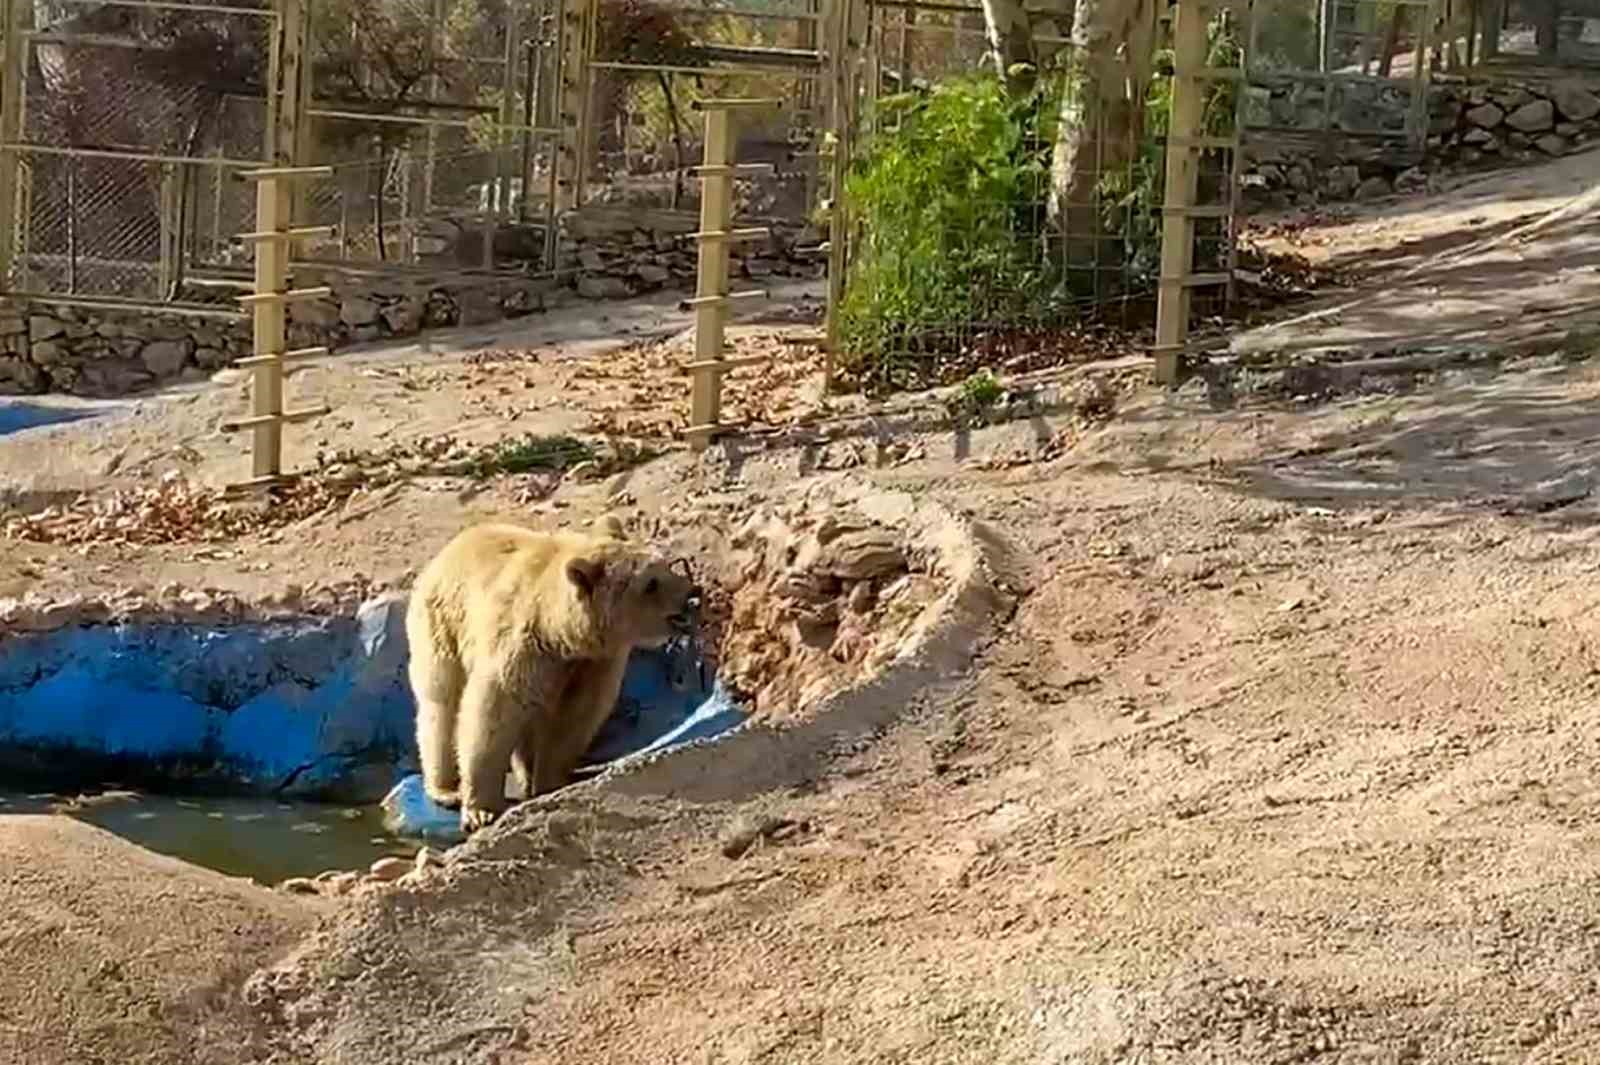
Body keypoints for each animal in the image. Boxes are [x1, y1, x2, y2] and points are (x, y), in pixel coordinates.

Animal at [403, 514, 697, 831]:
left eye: (666, 565)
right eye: (650, 584)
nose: (692, 594)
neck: (557, 631)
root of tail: (447, 551)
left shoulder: (593, 664)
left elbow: (575, 717)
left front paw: (550, 783)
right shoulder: (520, 647)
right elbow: (491, 716)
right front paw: (481, 811)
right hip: (443, 624)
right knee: (442, 705)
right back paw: (446, 789)